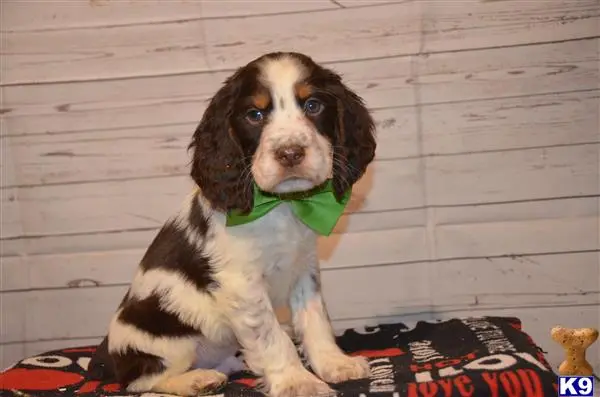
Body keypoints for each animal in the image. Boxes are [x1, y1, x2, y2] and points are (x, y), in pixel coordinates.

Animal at [95, 51, 376, 396]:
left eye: (313, 106)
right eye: (254, 114)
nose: (290, 153)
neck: (281, 205)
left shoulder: (304, 266)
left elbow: (315, 319)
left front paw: (334, 364)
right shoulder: (242, 283)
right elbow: (272, 336)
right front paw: (297, 381)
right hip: (163, 339)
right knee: (143, 380)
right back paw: (197, 379)